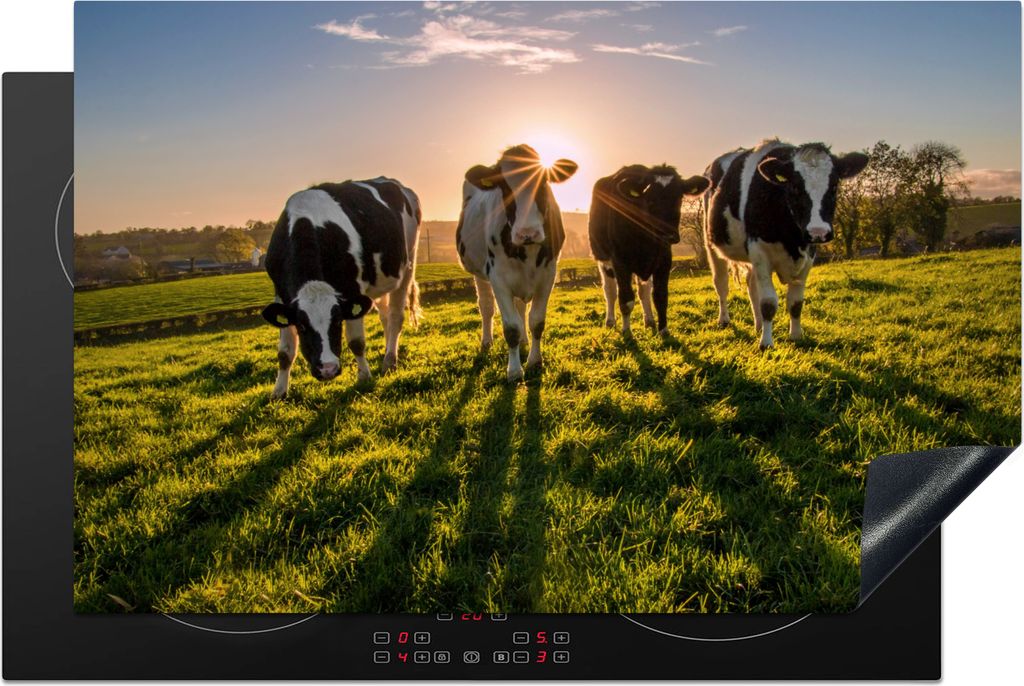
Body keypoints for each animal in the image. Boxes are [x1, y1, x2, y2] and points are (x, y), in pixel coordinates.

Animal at [260, 177, 422, 398]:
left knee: (396, 315)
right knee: (385, 315)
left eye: (337, 321)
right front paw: (279, 392)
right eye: (302, 326)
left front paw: (364, 377)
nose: (327, 369)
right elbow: (285, 352)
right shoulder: (282, 295)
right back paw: (388, 348)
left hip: (408, 263)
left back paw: (390, 360)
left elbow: (356, 342)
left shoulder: (353, 288)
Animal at [455, 144, 578, 382]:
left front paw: (535, 361)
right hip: (479, 272)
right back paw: (487, 342)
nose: (527, 233)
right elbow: (511, 327)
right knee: (486, 307)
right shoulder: (498, 278)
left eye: (544, 182)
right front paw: (514, 371)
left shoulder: (548, 275)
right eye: (504, 187)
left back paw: (524, 341)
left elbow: (536, 321)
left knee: (521, 307)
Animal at [589, 164, 710, 336]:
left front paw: (663, 330)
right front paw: (627, 332)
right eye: (650, 200)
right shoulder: (620, 262)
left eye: (678, 198)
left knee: (643, 291)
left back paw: (650, 320)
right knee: (610, 291)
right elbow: (625, 299)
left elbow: (660, 296)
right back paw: (610, 321)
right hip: (602, 258)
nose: (668, 235)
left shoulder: (664, 260)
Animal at [703, 140, 868, 349]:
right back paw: (724, 319)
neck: (791, 239)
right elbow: (768, 303)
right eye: (795, 187)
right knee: (721, 284)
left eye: (834, 186)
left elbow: (796, 303)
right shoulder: (760, 251)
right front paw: (766, 343)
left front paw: (796, 336)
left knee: (752, 286)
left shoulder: (808, 255)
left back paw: (758, 325)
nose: (818, 231)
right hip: (712, 245)